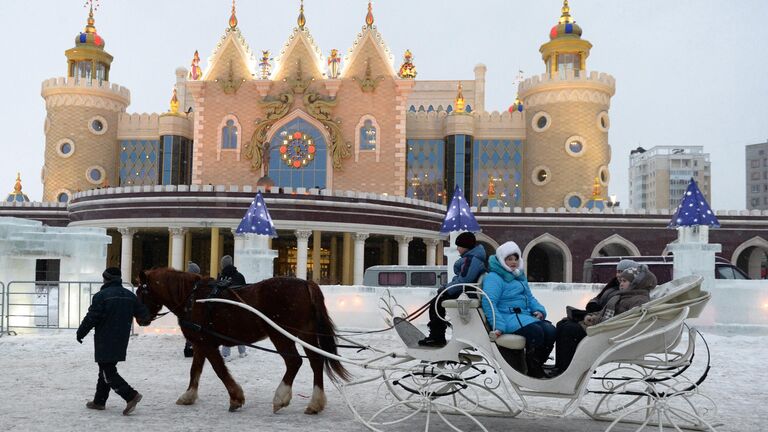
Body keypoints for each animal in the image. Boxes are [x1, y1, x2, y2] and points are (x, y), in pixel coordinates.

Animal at [138, 268, 352, 414]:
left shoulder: (207, 344)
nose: (141, 320)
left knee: (294, 362)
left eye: (141, 293)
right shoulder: (200, 343)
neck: (193, 299)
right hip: (305, 334)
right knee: (316, 361)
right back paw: (315, 403)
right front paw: (188, 395)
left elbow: (220, 370)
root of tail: (306, 284)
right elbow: (195, 370)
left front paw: (236, 398)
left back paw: (280, 397)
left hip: (281, 335)